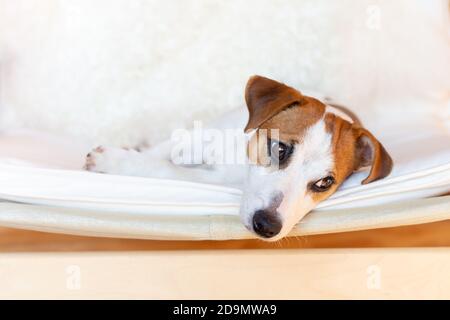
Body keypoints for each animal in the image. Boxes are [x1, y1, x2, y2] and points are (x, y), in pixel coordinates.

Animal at [83, 75, 390, 240]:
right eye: (280, 148)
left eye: (324, 183)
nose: (266, 226)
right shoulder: (194, 137)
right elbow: (161, 151)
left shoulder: (212, 178)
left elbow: (165, 169)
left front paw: (113, 162)